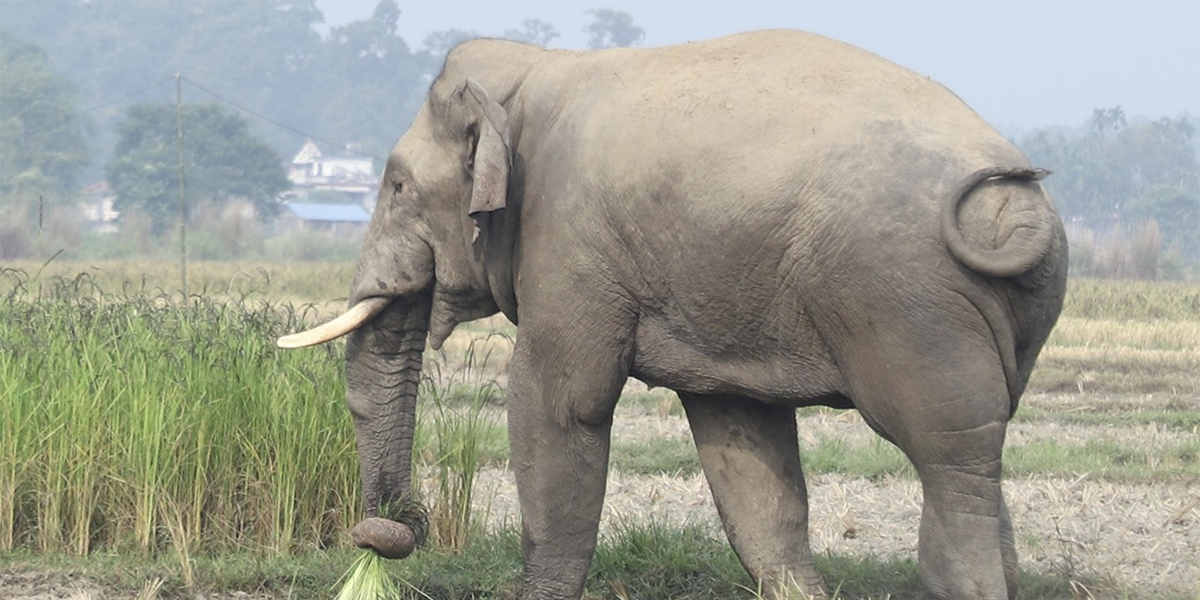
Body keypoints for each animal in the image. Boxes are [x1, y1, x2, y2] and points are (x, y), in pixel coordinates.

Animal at [280, 28, 1070, 600]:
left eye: (396, 185)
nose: (386, 531)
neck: (533, 73)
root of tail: (1016, 196)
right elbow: (740, 441)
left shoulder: (569, 237)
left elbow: (560, 403)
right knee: (982, 443)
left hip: (907, 298)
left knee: (947, 448)